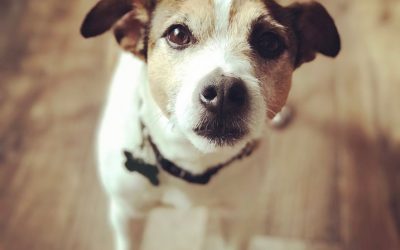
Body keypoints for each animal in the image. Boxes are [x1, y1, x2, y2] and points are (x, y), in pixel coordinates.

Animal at [80, 0, 340, 248]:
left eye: (269, 42)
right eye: (177, 34)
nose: (224, 92)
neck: (194, 158)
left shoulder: (239, 217)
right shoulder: (127, 213)